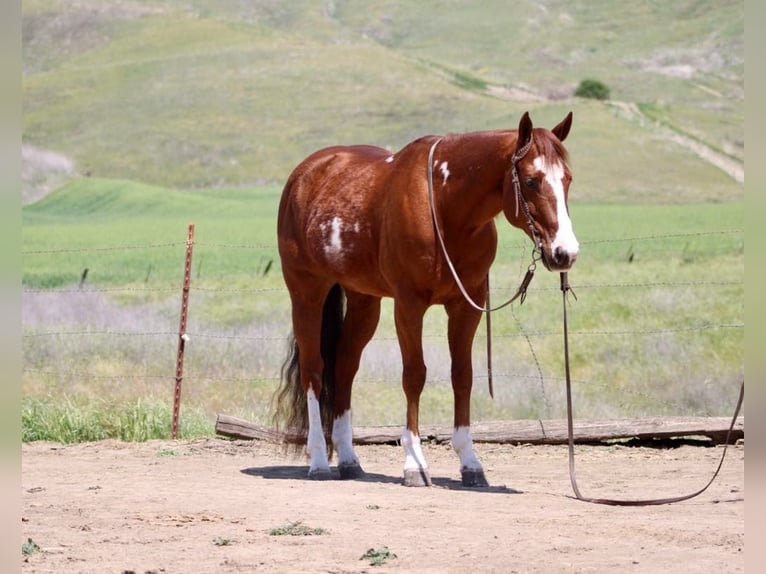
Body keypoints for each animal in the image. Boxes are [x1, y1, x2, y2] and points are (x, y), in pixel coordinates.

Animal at [274, 111, 578, 487]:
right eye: (533, 181)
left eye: (567, 179)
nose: (565, 253)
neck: (446, 211)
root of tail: (307, 172)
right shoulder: (409, 304)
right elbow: (414, 375)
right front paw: (414, 463)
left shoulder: (466, 305)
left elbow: (463, 375)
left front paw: (470, 462)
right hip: (307, 292)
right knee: (314, 369)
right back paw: (318, 459)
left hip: (364, 300)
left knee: (344, 366)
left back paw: (348, 460)